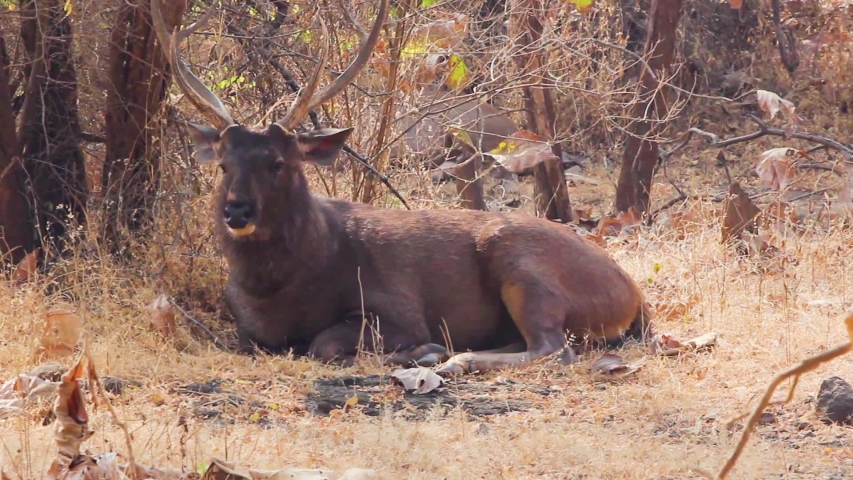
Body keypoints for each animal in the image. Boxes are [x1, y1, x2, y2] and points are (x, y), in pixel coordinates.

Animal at [152, 0, 653, 375]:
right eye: (223, 165)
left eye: (278, 163)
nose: (237, 211)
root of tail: (632, 295)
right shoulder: (244, 325)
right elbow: (257, 341)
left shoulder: (397, 306)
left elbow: (322, 344)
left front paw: (422, 350)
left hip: (522, 262)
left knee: (554, 347)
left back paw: (453, 358)